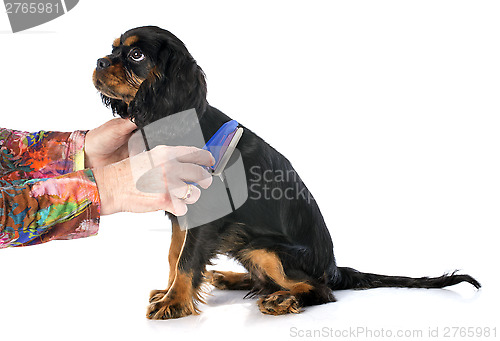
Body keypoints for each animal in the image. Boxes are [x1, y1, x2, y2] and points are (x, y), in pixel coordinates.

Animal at [93, 25, 480, 318]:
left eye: (136, 56)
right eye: (112, 49)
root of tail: (334, 268)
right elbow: (175, 254)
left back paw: (282, 299)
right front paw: (168, 292)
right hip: (248, 244)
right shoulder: (181, 208)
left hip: (266, 249)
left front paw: (174, 302)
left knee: (319, 291)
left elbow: (187, 259)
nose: (98, 60)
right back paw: (230, 279)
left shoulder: (206, 210)